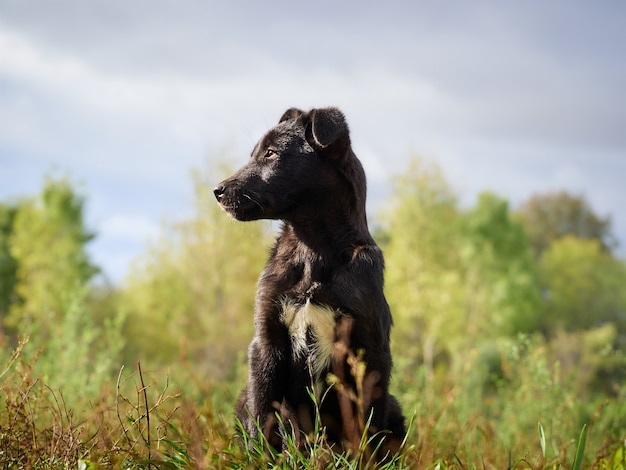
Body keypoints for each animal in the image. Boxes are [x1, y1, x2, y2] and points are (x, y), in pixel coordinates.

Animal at [214, 107, 404, 456]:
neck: (312, 249)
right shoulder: (267, 342)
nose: (217, 191)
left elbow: (368, 421)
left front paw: (364, 459)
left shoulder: (370, 350)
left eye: (271, 153)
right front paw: (261, 458)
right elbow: (263, 413)